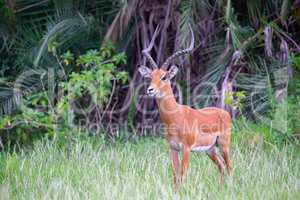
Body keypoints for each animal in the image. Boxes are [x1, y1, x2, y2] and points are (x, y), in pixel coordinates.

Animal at [138, 25, 232, 186]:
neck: (175, 116)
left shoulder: (186, 149)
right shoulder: (173, 148)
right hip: (210, 149)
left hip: (224, 145)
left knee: (229, 166)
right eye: (150, 76)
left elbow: (182, 174)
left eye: (164, 77)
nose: (150, 90)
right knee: (221, 165)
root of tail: (224, 113)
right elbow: (175, 175)